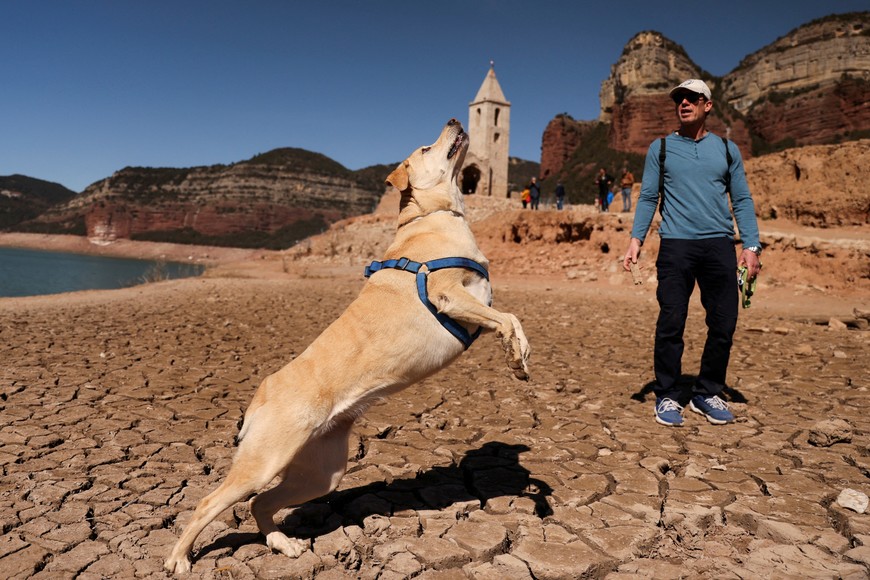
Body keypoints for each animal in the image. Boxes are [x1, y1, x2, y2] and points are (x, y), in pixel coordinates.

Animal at [164, 120, 532, 572]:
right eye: (426, 148)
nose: (454, 121)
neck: (433, 216)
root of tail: (259, 396)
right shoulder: (449, 295)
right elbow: (508, 318)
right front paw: (517, 357)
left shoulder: (476, 302)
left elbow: (511, 319)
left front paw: (518, 357)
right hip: (264, 462)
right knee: (209, 502)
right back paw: (180, 559)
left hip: (322, 473)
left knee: (260, 505)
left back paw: (282, 544)